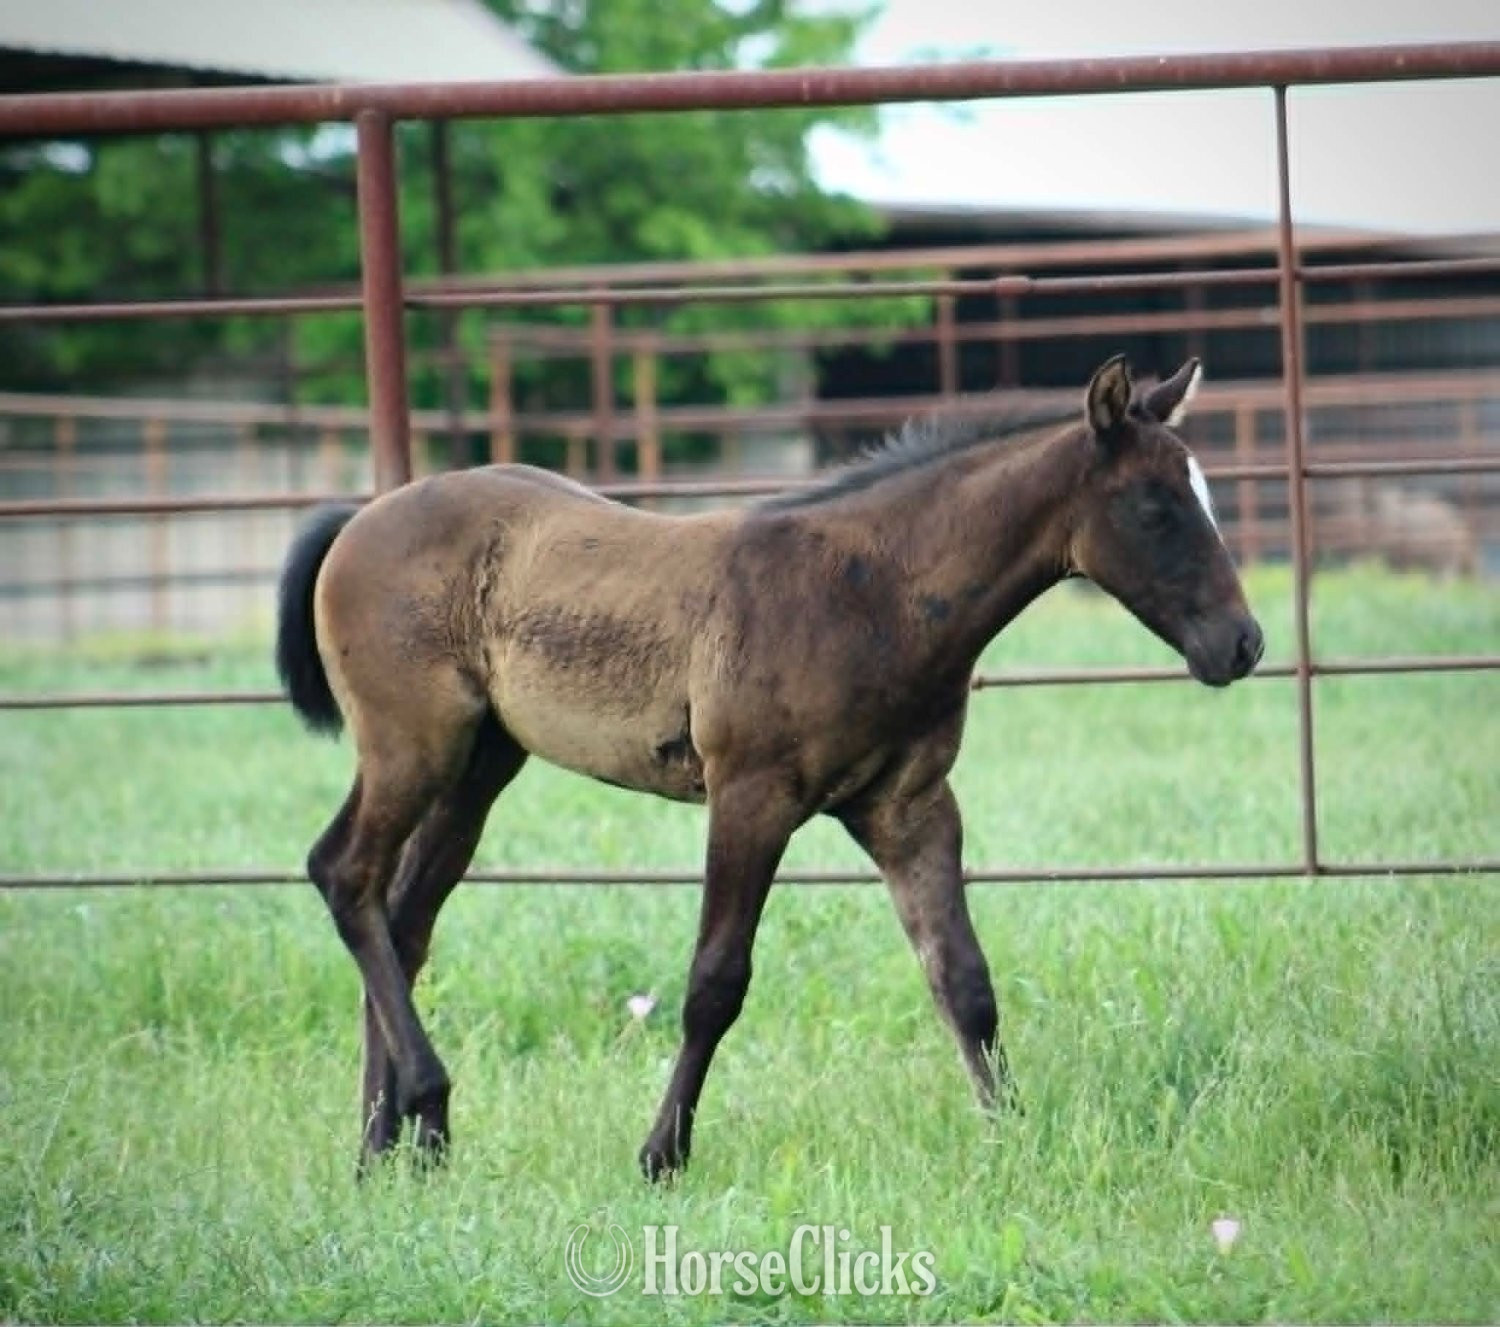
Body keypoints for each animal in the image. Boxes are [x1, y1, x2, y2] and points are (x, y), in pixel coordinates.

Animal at [274, 353, 1263, 1181]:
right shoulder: (751, 795)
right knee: (345, 873)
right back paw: (423, 1112)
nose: (1243, 644)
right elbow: (715, 982)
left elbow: (963, 978)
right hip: (413, 745)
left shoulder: (908, 806)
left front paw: (1013, 1137)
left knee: (403, 919)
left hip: (481, 763)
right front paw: (661, 1156)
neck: (870, 591)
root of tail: (359, 519)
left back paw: (390, 1148)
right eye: (1156, 509)